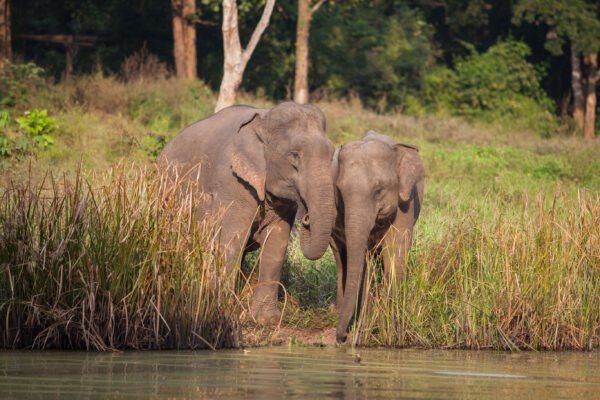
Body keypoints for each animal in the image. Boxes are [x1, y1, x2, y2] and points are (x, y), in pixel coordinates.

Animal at [158, 101, 338, 324]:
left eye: (331, 154)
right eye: (294, 155)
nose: (306, 217)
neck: (263, 120)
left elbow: (276, 245)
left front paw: (266, 321)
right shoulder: (232, 184)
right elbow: (231, 243)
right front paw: (222, 315)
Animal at [330, 130, 424, 340]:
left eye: (379, 190)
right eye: (340, 191)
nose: (343, 336)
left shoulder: (405, 201)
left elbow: (395, 252)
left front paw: (388, 317)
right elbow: (362, 260)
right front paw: (365, 319)